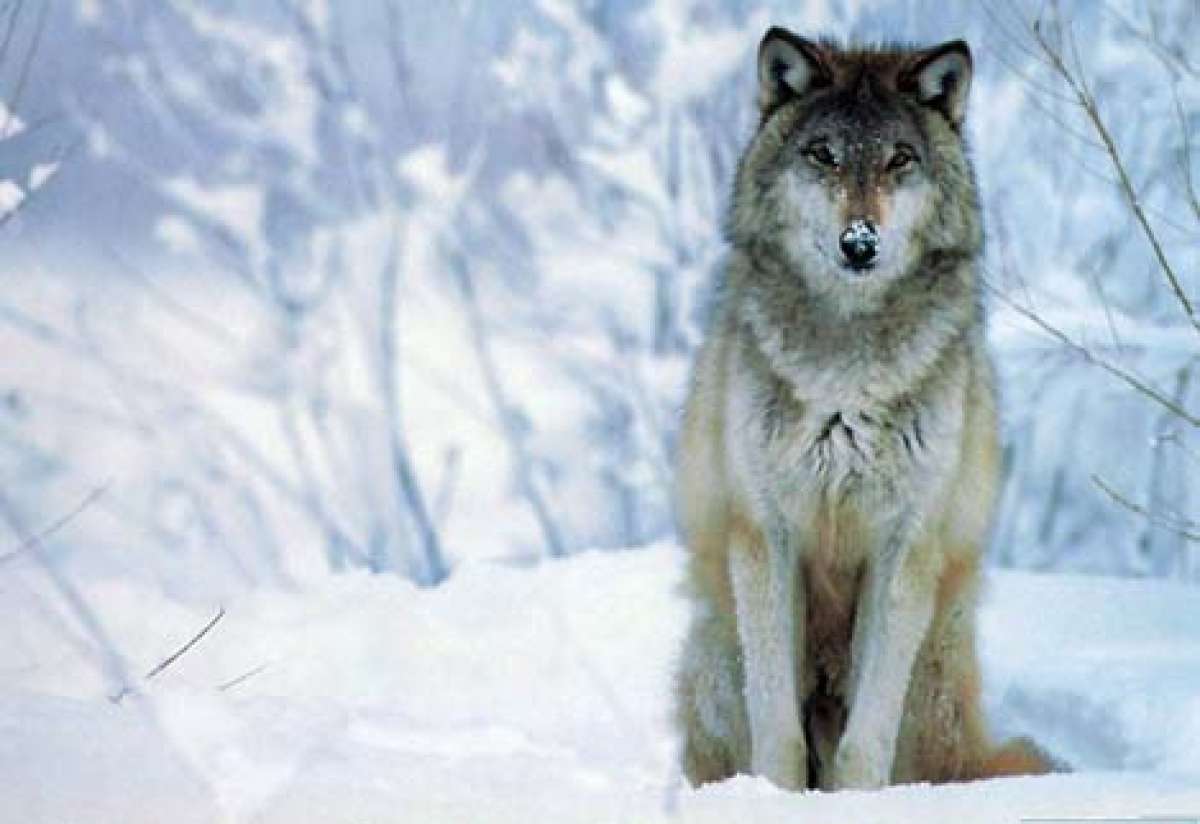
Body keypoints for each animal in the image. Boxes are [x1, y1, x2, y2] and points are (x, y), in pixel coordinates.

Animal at [673, 28, 1056, 791]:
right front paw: (772, 799)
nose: (860, 242)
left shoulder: (903, 544)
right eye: (823, 155)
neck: (845, 376)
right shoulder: (766, 535)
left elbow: (865, 743)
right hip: (720, 648)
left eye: (898, 159)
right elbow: (778, 734)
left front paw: (858, 802)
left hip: (931, 671)